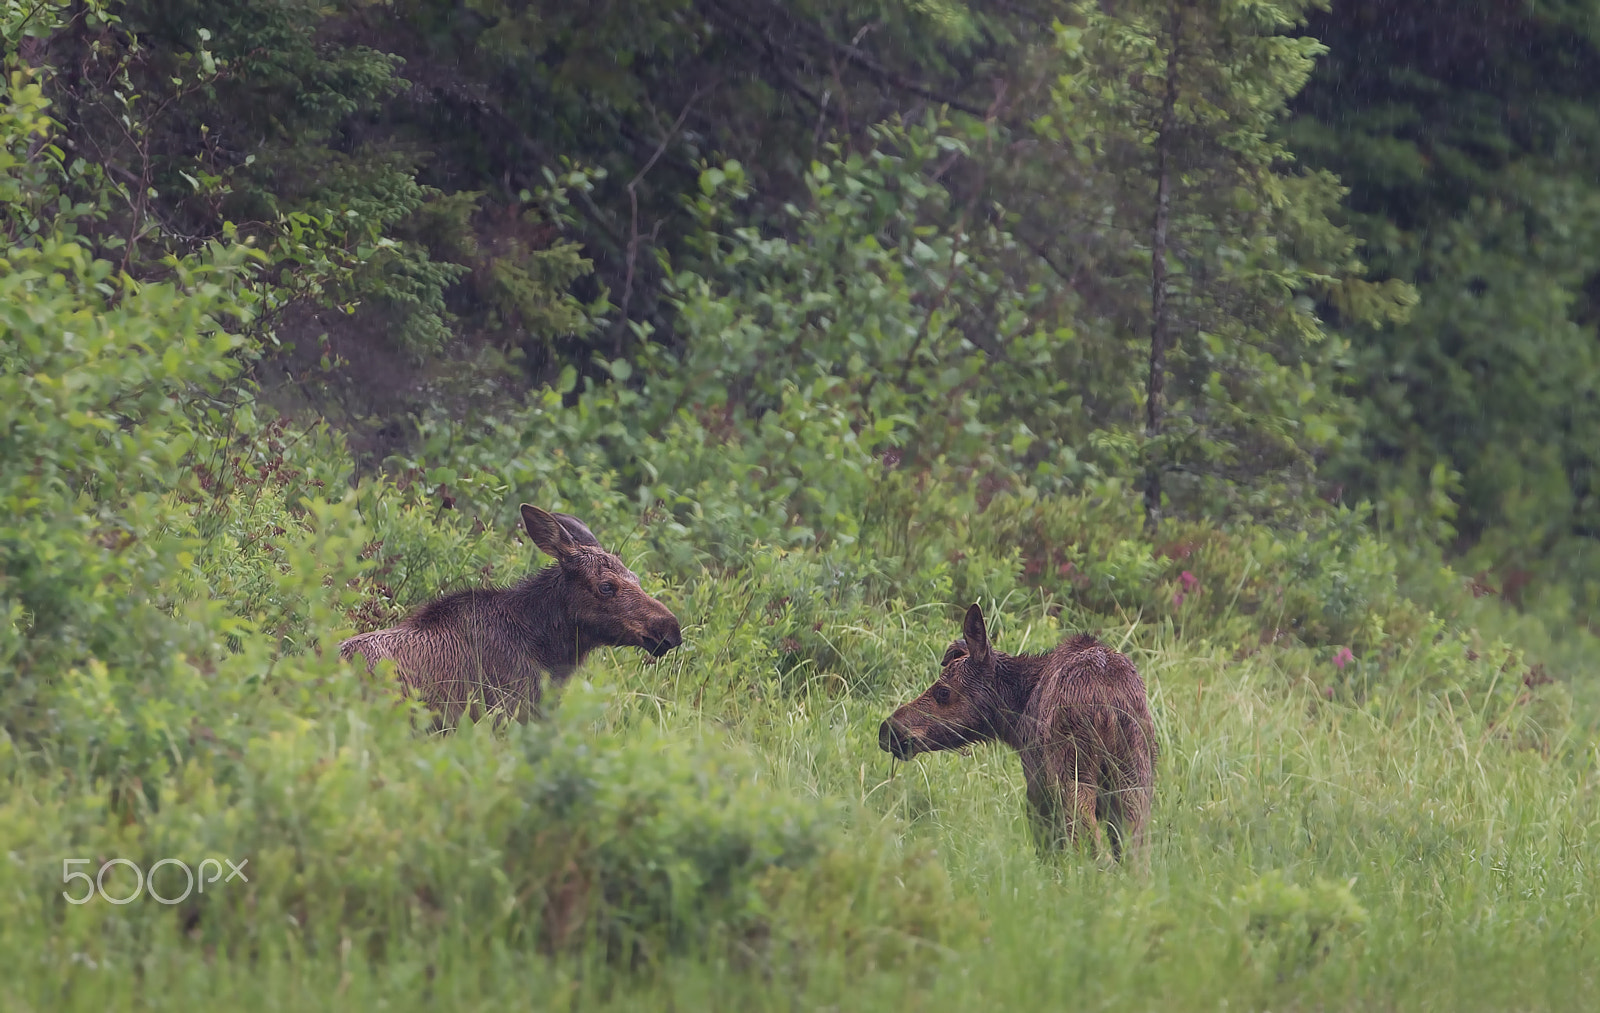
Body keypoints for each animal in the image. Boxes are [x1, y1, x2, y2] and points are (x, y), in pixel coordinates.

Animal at [883, 601, 1158, 864]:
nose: (888, 730)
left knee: (1094, 851)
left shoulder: (1037, 790)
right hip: (1134, 778)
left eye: (943, 691)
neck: (1015, 715)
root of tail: (1108, 704)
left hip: (1073, 774)